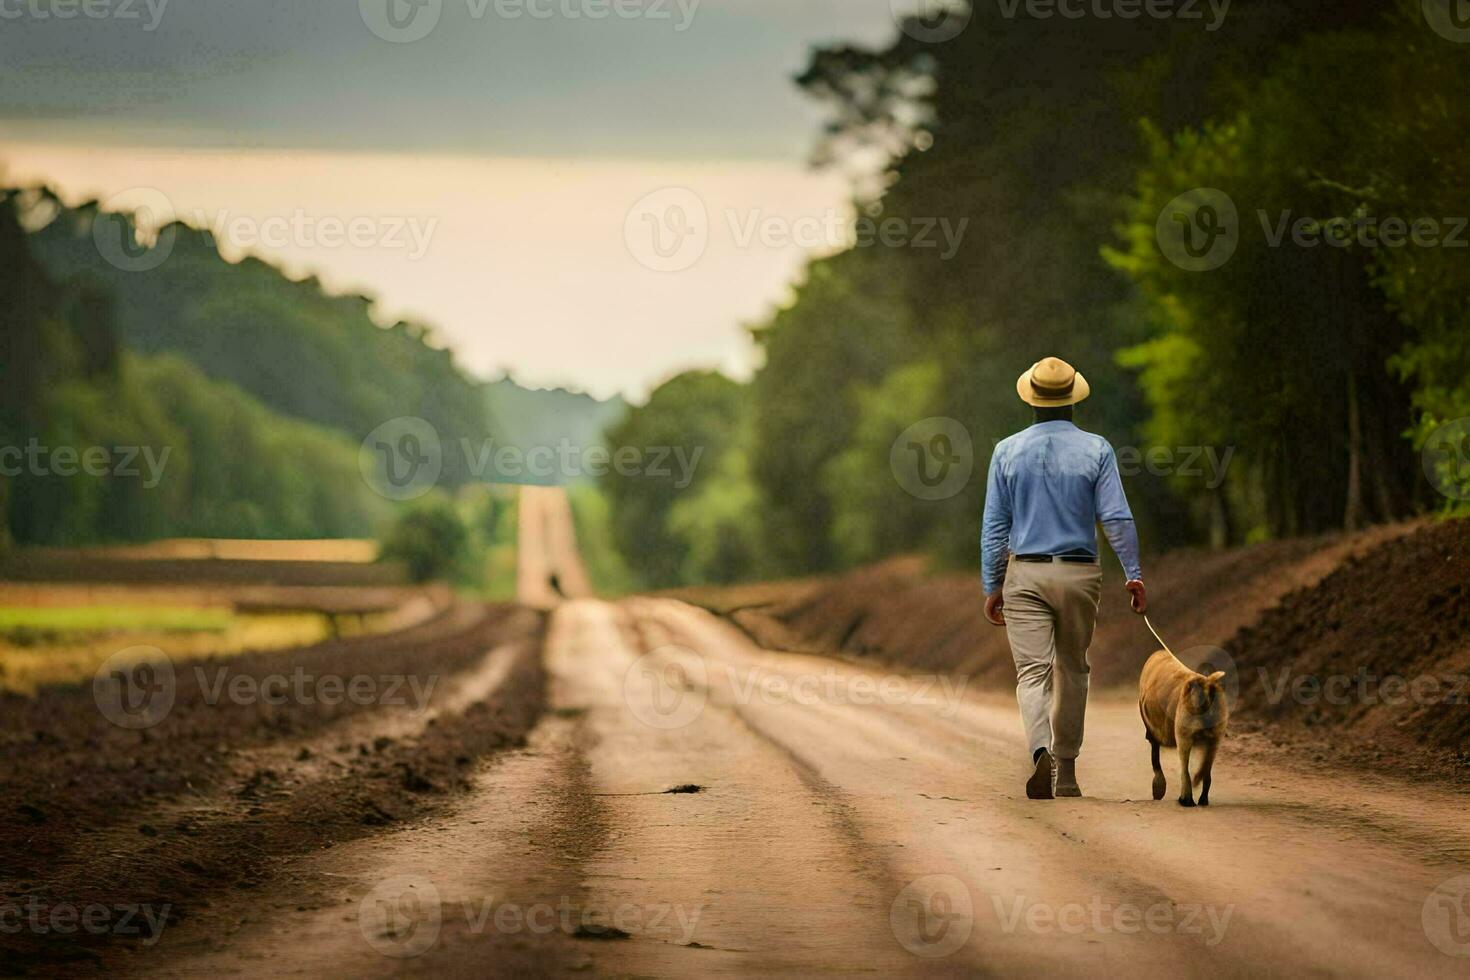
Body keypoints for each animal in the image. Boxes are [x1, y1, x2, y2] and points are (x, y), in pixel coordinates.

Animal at [1134, 652, 1228, 805]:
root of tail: (1206, 684)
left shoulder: (1154, 731)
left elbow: (1155, 758)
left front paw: (1158, 790)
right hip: (1216, 737)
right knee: (1207, 769)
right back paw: (1202, 799)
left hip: (1183, 735)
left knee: (1185, 769)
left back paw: (1186, 800)